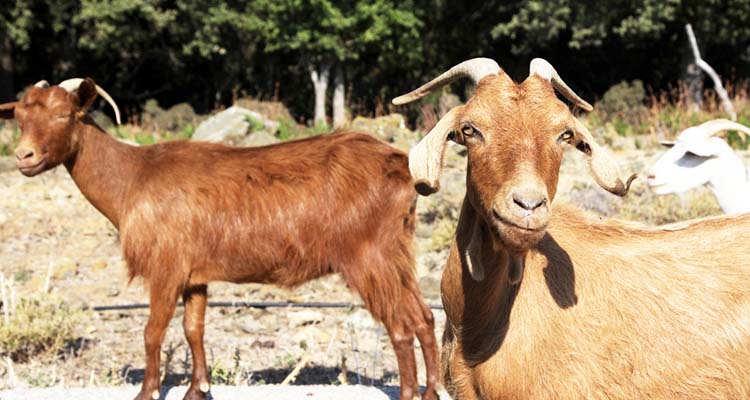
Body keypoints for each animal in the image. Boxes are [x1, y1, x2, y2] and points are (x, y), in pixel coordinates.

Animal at [1, 78, 446, 400]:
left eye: (64, 115)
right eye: (19, 117)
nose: (23, 157)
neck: (132, 178)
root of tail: (402, 167)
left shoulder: (165, 268)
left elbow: (152, 331)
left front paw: (147, 393)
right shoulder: (195, 275)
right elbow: (193, 329)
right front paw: (198, 389)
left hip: (368, 257)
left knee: (400, 327)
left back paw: (411, 393)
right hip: (395, 253)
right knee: (423, 318)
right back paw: (431, 391)